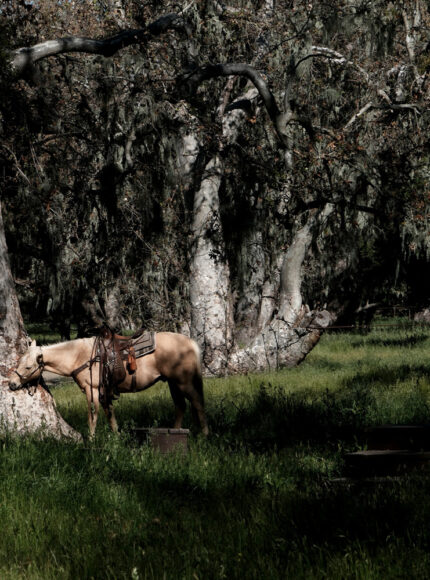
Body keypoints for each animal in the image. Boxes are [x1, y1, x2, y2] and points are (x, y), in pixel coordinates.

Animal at [10, 330, 209, 436]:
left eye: (28, 367)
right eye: (18, 362)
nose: (12, 384)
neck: (79, 355)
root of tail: (191, 343)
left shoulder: (92, 390)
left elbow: (93, 415)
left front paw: (90, 441)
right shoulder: (103, 391)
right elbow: (109, 414)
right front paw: (116, 436)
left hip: (184, 382)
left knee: (198, 403)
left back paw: (204, 435)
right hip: (172, 383)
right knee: (181, 405)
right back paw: (175, 431)